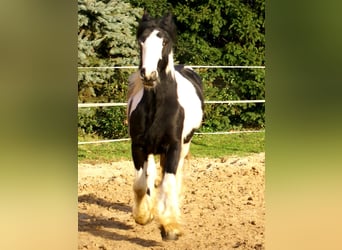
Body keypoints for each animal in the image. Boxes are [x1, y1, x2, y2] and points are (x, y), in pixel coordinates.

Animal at [127, 11, 203, 240]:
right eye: (141, 41)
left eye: (165, 42)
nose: (148, 75)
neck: (158, 106)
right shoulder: (138, 146)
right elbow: (141, 184)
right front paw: (144, 216)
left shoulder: (173, 147)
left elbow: (168, 183)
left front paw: (170, 227)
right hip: (152, 150)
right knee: (152, 176)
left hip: (185, 145)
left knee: (173, 178)